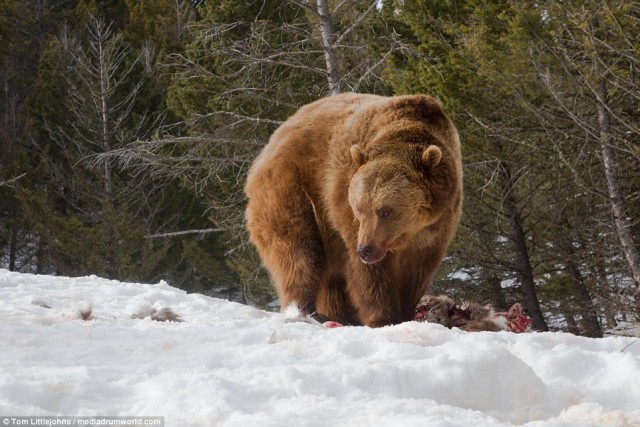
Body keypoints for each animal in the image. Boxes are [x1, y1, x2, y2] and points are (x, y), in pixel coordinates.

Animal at [244, 93, 460, 328]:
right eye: (359, 208)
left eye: (385, 211)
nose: (365, 249)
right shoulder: (343, 202)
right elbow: (370, 274)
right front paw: (383, 317)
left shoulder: (437, 225)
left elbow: (416, 272)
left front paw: (405, 312)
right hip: (292, 190)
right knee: (299, 250)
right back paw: (305, 310)